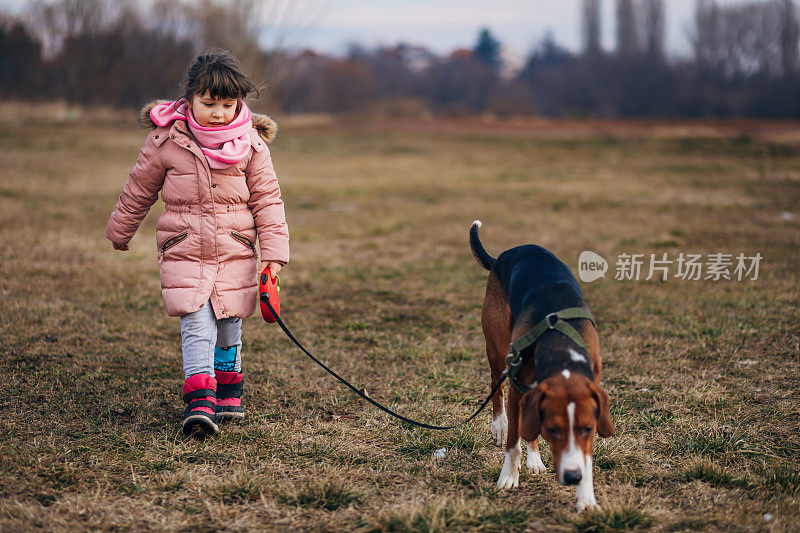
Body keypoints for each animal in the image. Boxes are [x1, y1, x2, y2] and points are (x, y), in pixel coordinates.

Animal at [472, 221, 616, 512]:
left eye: (587, 429)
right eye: (553, 429)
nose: (572, 477)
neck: (561, 347)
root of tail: (504, 255)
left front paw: (586, 497)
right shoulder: (517, 391)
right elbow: (513, 443)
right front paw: (508, 477)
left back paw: (535, 461)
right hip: (497, 347)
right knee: (495, 385)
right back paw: (499, 426)